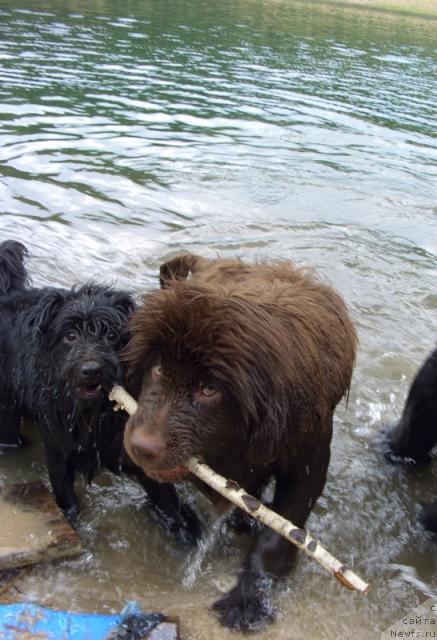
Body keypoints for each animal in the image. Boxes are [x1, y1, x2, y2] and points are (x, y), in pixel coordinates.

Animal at [0, 242, 200, 544]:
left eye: (111, 335)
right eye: (70, 335)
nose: (92, 370)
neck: (92, 415)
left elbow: (166, 499)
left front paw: (183, 528)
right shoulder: (60, 456)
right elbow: (66, 500)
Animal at [121, 251, 356, 632]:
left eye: (209, 389)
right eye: (157, 368)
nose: (142, 447)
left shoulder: (309, 461)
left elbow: (278, 538)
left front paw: (248, 601)